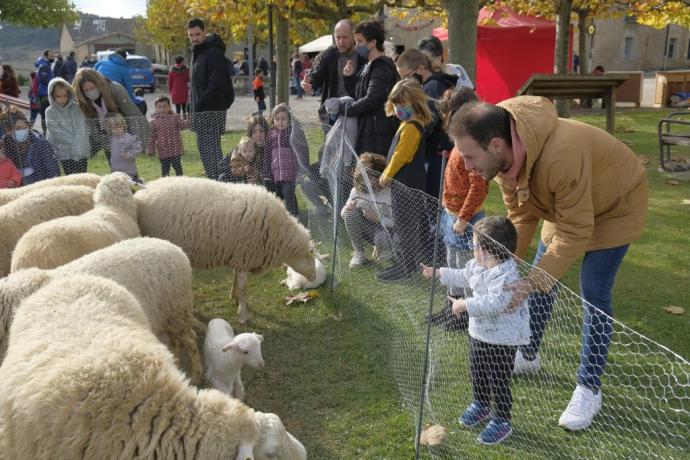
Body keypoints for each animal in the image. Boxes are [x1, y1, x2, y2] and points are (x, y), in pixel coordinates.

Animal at [0, 239, 203, 382]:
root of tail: (174, 247)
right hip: (166, 318)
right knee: (173, 342)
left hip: (177, 311)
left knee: (191, 341)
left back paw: (196, 375)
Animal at [134, 176, 318, 324]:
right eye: (311, 256)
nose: (314, 278)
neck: (279, 235)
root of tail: (141, 193)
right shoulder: (245, 253)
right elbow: (244, 286)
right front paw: (243, 314)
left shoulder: (239, 255)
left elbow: (235, 278)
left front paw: (234, 297)